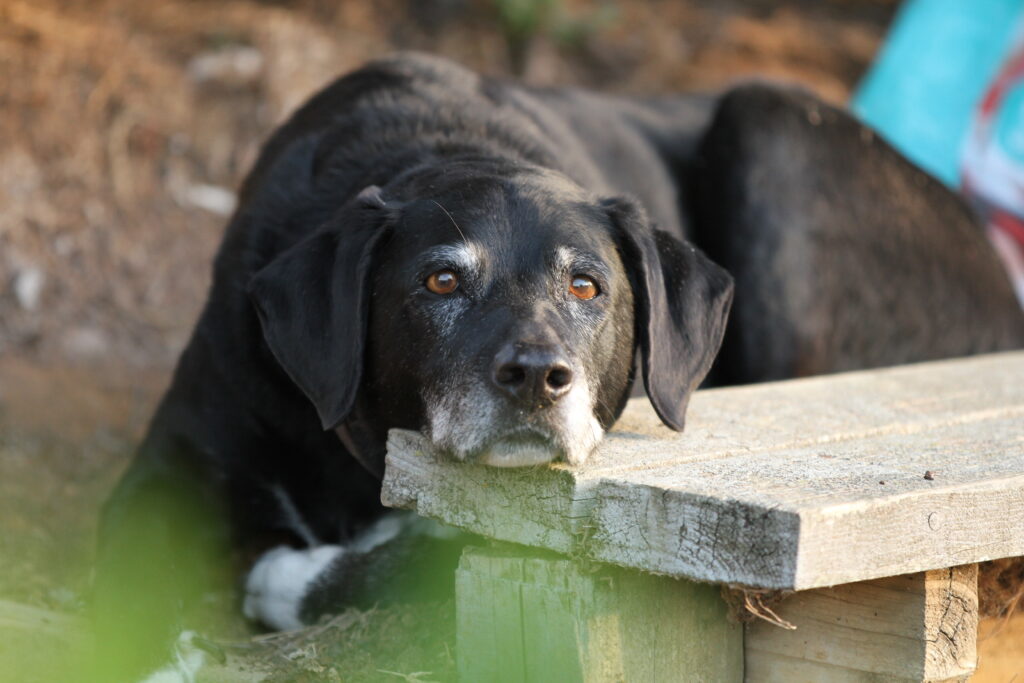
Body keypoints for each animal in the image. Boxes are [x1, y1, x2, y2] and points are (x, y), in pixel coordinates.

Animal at [96, 53, 1024, 679]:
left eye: (587, 286)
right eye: (440, 280)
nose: (539, 376)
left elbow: (398, 558)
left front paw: (285, 578)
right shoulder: (166, 471)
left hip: (776, 130)